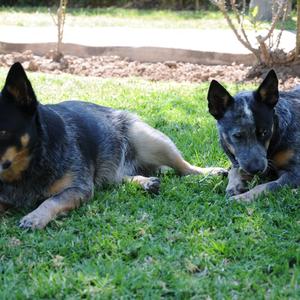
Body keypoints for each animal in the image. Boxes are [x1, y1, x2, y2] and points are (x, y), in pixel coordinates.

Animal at [0, 62, 225, 229]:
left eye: (2, 131)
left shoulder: (79, 188)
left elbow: (51, 200)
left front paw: (35, 216)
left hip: (149, 138)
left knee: (186, 168)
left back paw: (210, 172)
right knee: (119, 178)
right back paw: (144, 182)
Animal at [207, 69, 300, 203]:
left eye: (264, 132)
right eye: (237, 135)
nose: (257, 169)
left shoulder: (295, 173)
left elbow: (266, 186)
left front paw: (242, 198)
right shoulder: (238, 162)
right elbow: (234, 170)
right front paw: (234, 185)